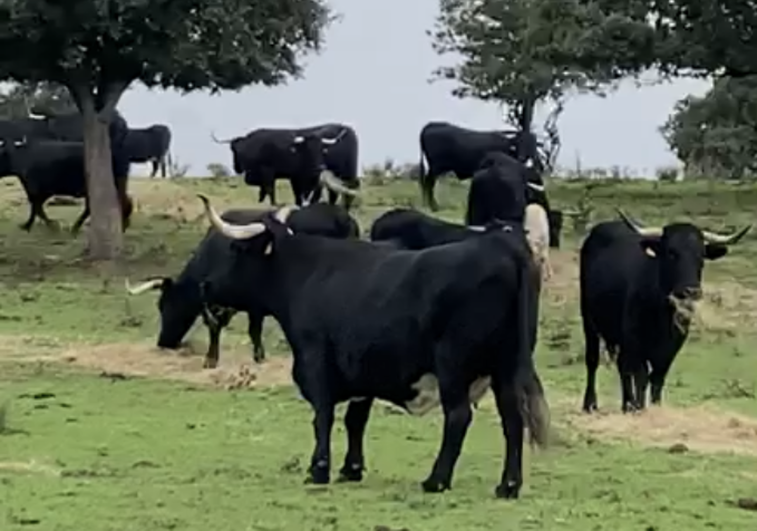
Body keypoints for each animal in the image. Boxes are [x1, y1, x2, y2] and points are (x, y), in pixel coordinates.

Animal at [0, 137, 133, 233]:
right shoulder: (41, 191)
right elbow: (37, 208)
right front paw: (30, 225)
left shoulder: (37, 189)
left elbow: (37, 208)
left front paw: (50, 225)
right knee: (124, 201)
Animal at [208, 123, 358, 209]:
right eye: (233, 149)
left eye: (323, 150)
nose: (237, 168)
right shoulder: (293, 178)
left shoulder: (270, 172)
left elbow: (271, 189)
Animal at [580, 210, 752, 414]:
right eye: (671, 252)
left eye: (701, 255)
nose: (691, 291)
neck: (662, 315)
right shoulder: (635, 342)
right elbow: (642, 377)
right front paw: (640, 409)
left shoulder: (670, 348)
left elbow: (657, 379)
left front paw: (651, 407)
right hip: (588, 318)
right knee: (593, 360)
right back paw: (590, 404)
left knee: (622, 366)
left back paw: (626, 404)